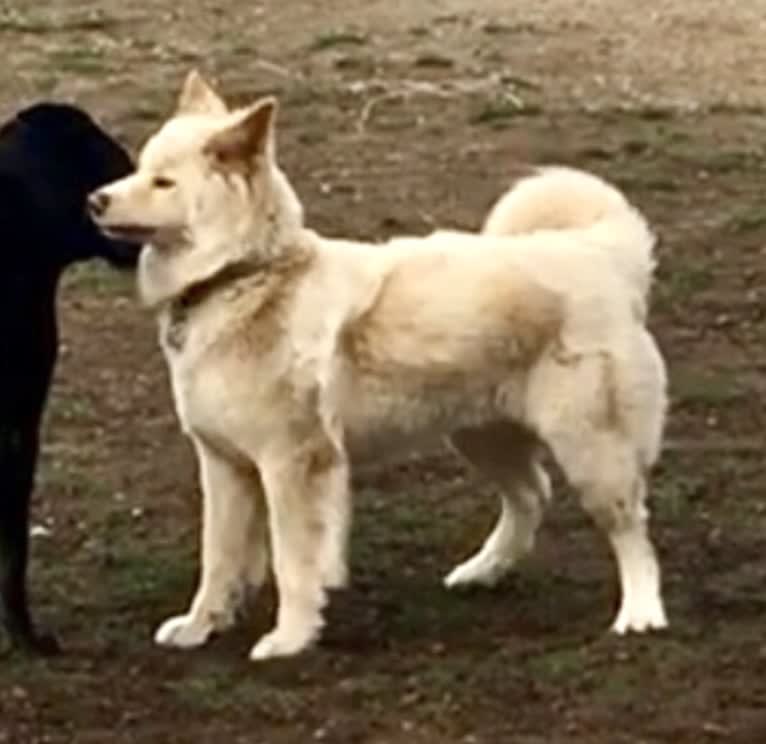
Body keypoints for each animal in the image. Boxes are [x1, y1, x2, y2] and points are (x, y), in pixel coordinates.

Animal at [88, 72, 664, 660]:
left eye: (163, 182)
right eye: (140, 168)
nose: (95, 199)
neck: (242, 276)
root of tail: (598, 250)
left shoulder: (293, 464)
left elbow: (293, 565)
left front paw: (290, 638)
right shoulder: (224, 465)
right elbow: (218, 560)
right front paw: (199, 627)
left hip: (590, 446)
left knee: (629, 527)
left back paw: (640, 613)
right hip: (480, 434)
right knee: (531, 496)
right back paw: (483, 571)